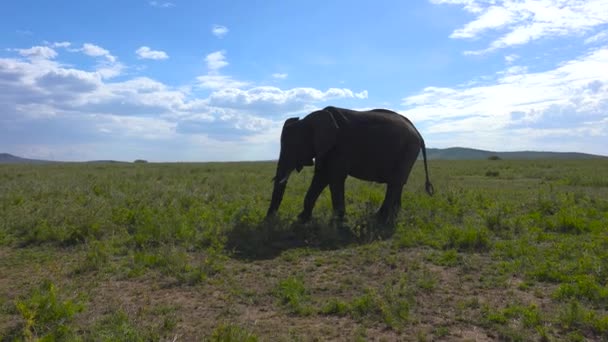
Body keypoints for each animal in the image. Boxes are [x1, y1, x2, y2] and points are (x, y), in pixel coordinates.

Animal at [266, 107, 432, 224]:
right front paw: (301, 219)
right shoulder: (325, 149)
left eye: (293, 147)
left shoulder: (339, 147)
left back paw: (378, 219)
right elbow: (320, 177)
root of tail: (418, 132)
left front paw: (337, 222)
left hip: (408, 149)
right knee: (397, 183)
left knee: (395, 183)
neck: (309, 119)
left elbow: (334, 178)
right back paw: (392, 216)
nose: (269, 220)